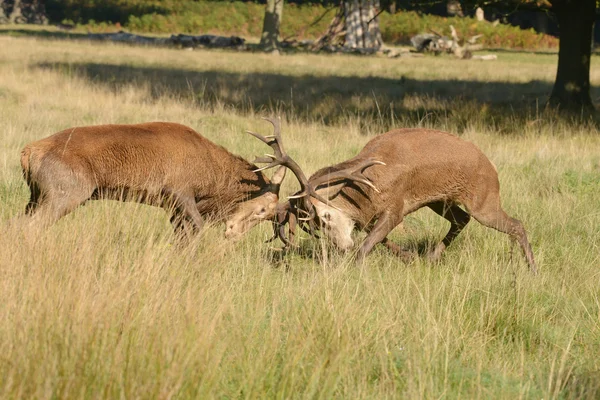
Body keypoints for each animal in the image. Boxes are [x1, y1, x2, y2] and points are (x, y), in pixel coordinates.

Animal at [17, 120, 288, 236]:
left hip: (35, 197)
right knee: (29, 228)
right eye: (263, 209)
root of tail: (28, 151)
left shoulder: (173, 208)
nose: (234, 233)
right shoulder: (180, 192)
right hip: (65, 196)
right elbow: (197, 229)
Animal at [233, 115, 536, 272]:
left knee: (516, 224)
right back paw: (432, 257)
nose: (342, 247)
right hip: (440, 201)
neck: (365, 189)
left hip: (483, 198)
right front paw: (410, 257)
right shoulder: (371, 218)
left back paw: (532, 269)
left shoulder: (396, 206)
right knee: (461, 220)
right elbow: (381, 240)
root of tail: (490, 165)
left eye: (325, 219)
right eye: (314, 227)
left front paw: (355, 269)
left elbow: (368, 245)